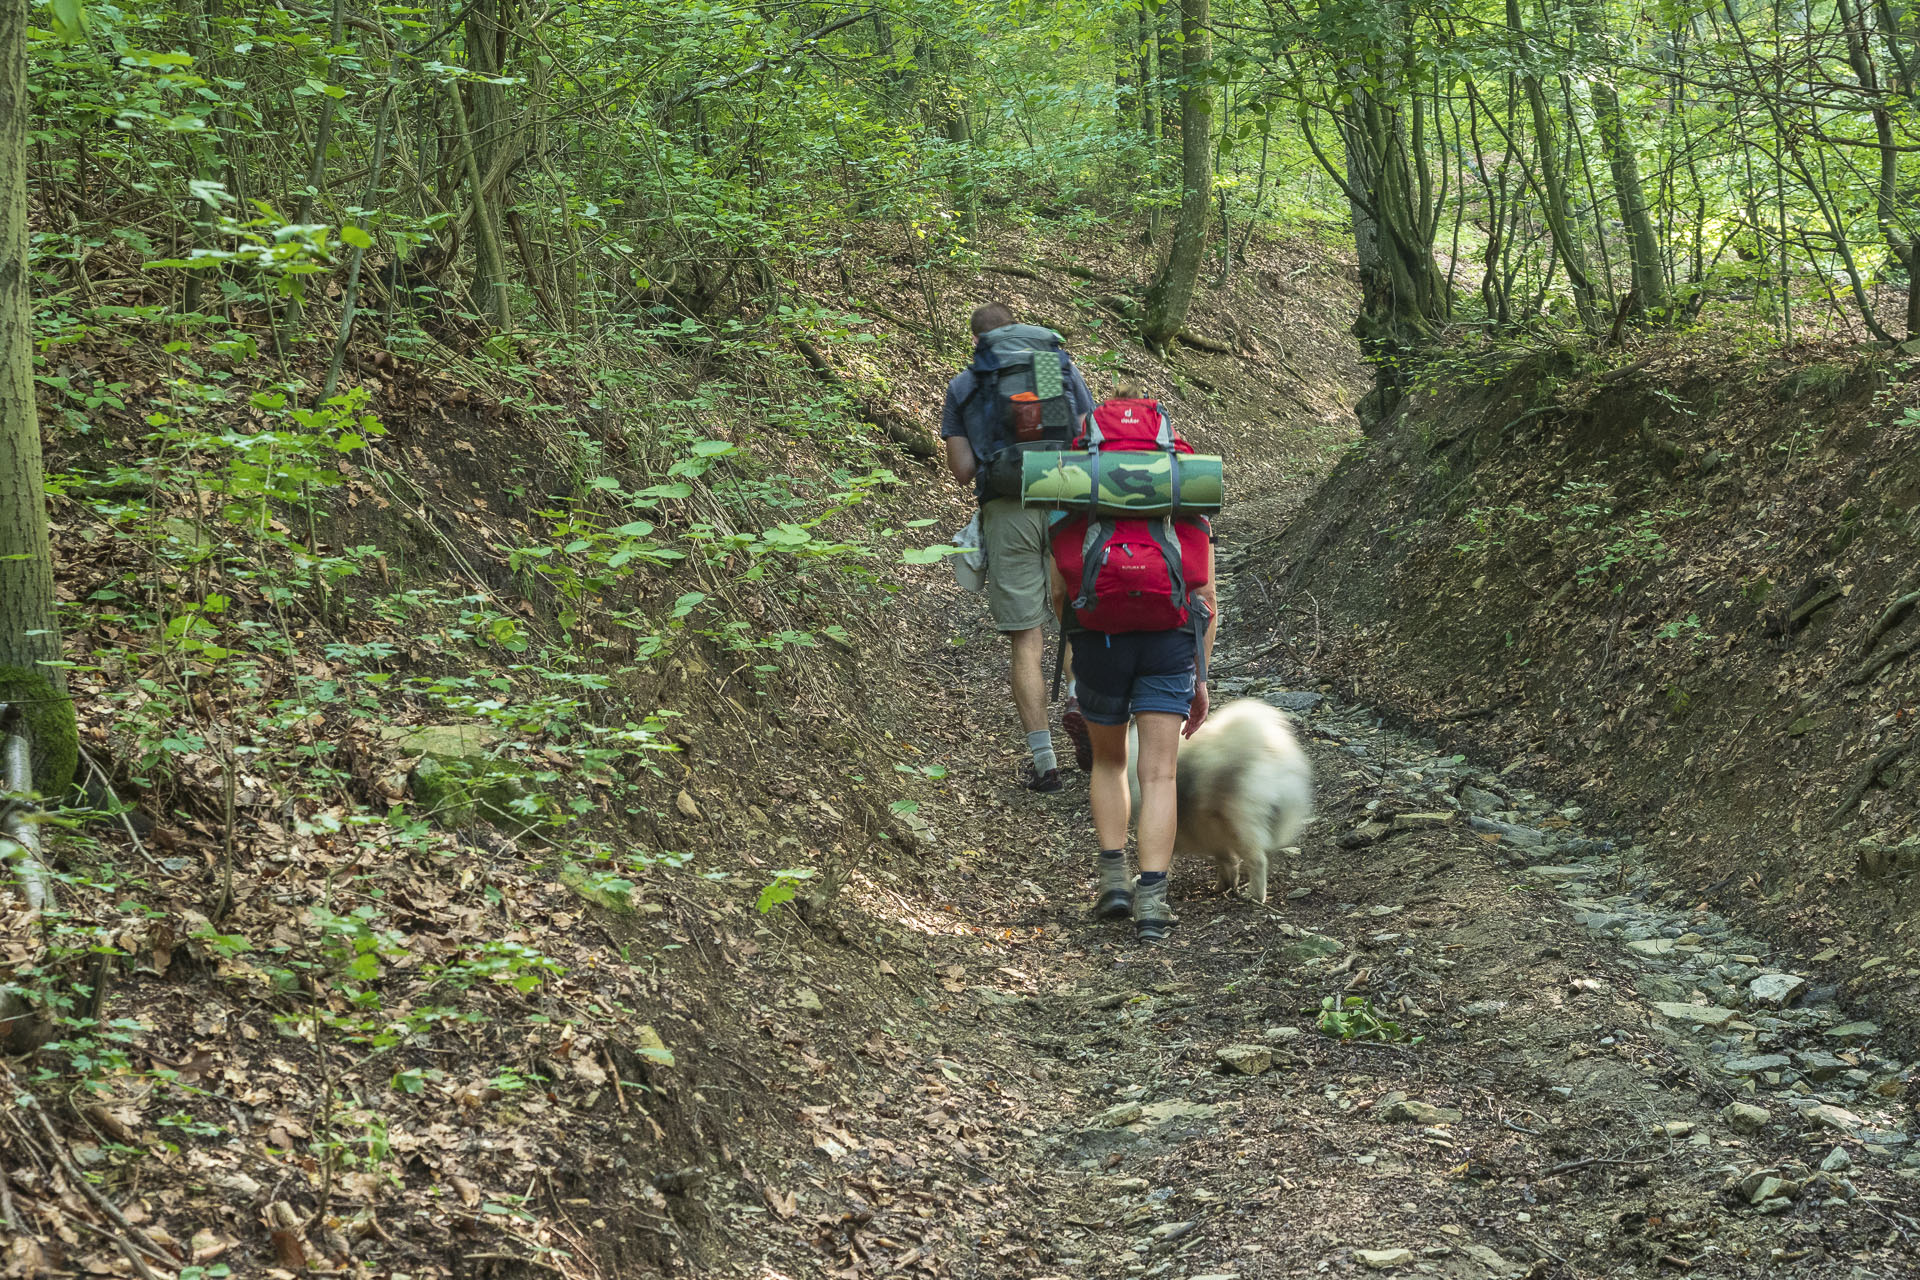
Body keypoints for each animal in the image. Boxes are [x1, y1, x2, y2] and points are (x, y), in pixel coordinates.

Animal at [1128, 702, 1313, 901]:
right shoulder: (1212, 831)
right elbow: (1226, 860)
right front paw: (1223, 885)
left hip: (1242, 824)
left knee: (1258, 860)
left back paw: (1254, 895)